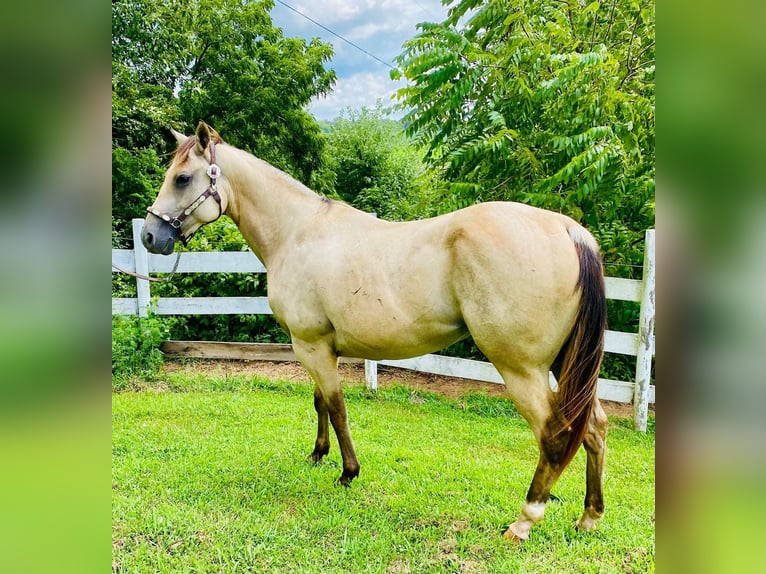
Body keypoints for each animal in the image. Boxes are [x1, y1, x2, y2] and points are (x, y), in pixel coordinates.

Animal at [141, 121, 608, 544]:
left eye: (182, 178)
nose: (149, 236)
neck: (298, 233)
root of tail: (569, 230)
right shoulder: (316, 346)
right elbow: (320, 403)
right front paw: (318, 454)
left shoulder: (311, 346)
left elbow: (337, 407)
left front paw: (347, 473)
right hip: (565, 364)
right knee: (594, 427)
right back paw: (589, 517)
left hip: (522, 369)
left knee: (554, 434)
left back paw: (525, 520)